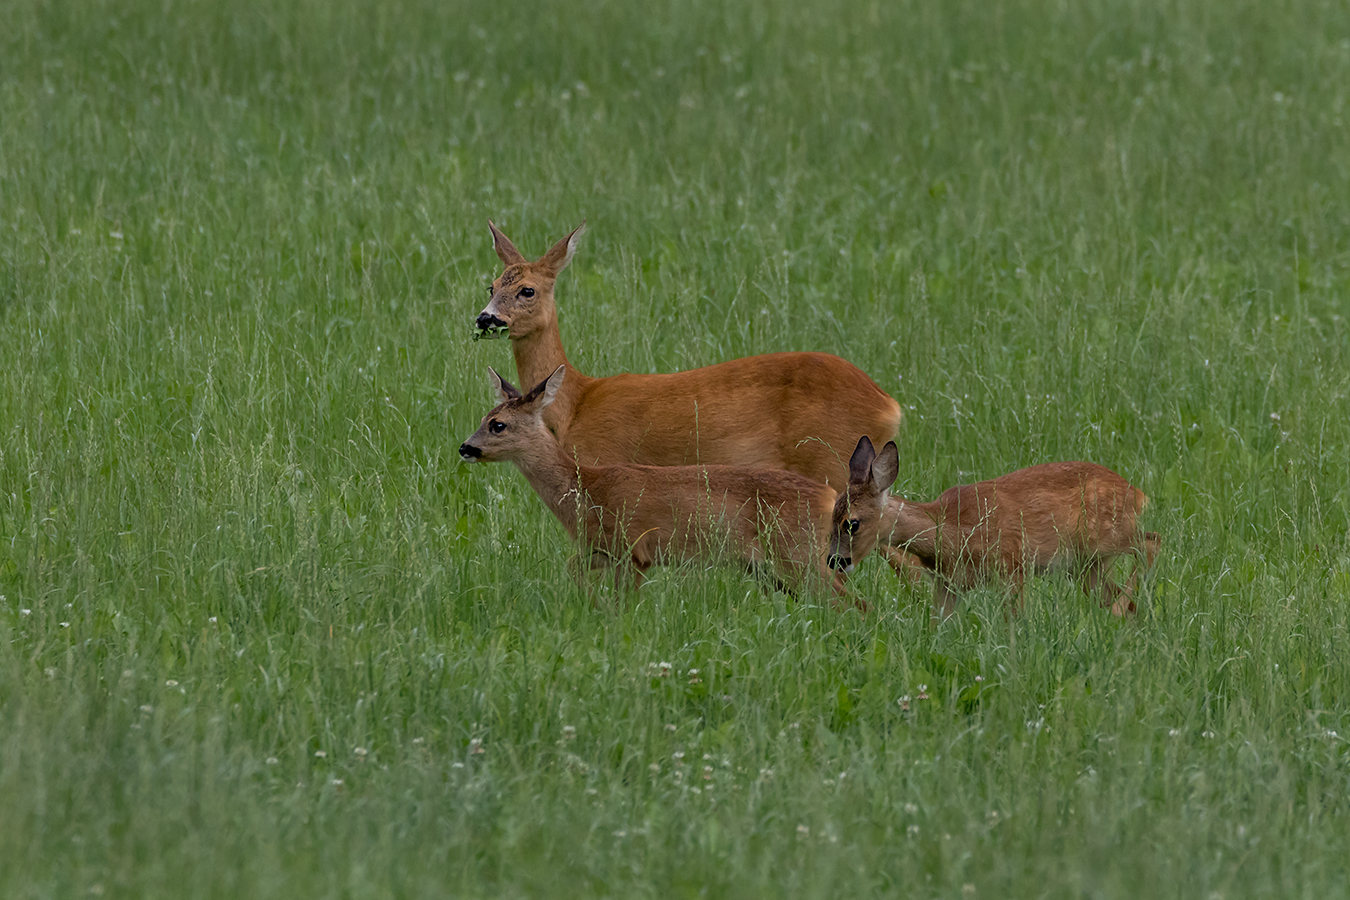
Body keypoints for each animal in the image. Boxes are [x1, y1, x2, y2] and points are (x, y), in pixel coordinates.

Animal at [453, 367, 853, 612]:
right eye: (484, 418)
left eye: (498, 424)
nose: (465, 447)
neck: (586, 491)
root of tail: (830, 497)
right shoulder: (603, 549)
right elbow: (572, 567)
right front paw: (595, 606)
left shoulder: (636, 549)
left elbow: (624, 602)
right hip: (771, 566)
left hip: (797, 553)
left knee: (851, 601)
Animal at [469, 223, 901, 493]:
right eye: (491, 285)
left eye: (527, 290)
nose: (485, 318)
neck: (575, 405)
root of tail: (890, 406)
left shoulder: (605, 458)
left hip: (828, 457)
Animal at [826, 437, 1155, 620]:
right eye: (831, 515)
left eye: (852, 523)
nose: (834, 561)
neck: (950, 530)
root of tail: (1138, 493)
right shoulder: (948, 584)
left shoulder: (1012, 565)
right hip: (1087, 567)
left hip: (1104, 537)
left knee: (1152, 542)